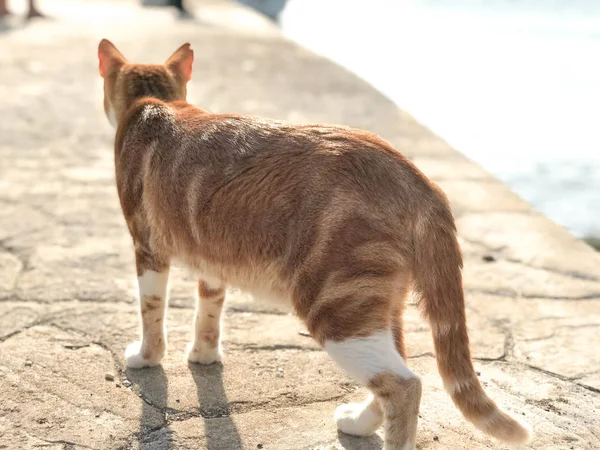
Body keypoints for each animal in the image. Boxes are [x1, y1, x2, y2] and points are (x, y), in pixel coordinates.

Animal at [98, 38, 536, 450]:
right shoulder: (214, 261)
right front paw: (203, 355)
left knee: (405, 385)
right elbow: (209, 311)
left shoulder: (147, 247)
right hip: (378, 307)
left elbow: (151, 310)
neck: (154, 103)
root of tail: (415, 177)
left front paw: (147, 357)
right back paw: (359, 423)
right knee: (396, 372)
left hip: (336, 310)